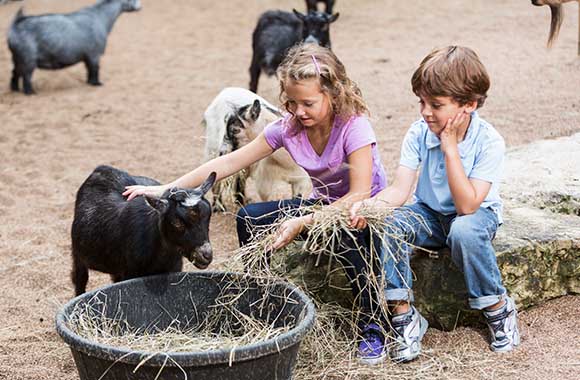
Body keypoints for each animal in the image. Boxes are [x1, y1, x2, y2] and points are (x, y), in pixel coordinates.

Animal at [9, 0, 142, 94]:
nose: (140, 6)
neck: (100, 17)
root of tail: (16, 24)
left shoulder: (88, 56)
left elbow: (89, 70)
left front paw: (89, 82)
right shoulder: (94, 54)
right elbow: (95, 69)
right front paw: (97, 83)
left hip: (17, 58)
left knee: (15, 73)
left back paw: (14, 89)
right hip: (28, 59)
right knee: (26, 76)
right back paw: (30, 92)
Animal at [70, 165, 215, 296]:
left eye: (208, 216)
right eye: (177, 223)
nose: (206, 255)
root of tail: (100, 169)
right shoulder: (130, 272)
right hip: (78, 254)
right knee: (80, 278)